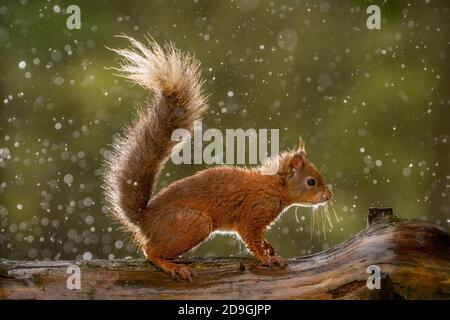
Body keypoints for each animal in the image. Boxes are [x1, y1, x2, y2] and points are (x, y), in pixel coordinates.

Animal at [103, 35, 332, 280]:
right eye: (311, 181)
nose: (329, 196)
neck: (273, 186)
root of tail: (144, 219)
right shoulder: (251, 215)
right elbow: (252, 240)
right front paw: (267, 258)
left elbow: (260, 239)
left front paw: (270, 248)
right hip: (194, 223)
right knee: (149, 250)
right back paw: (173, 266)